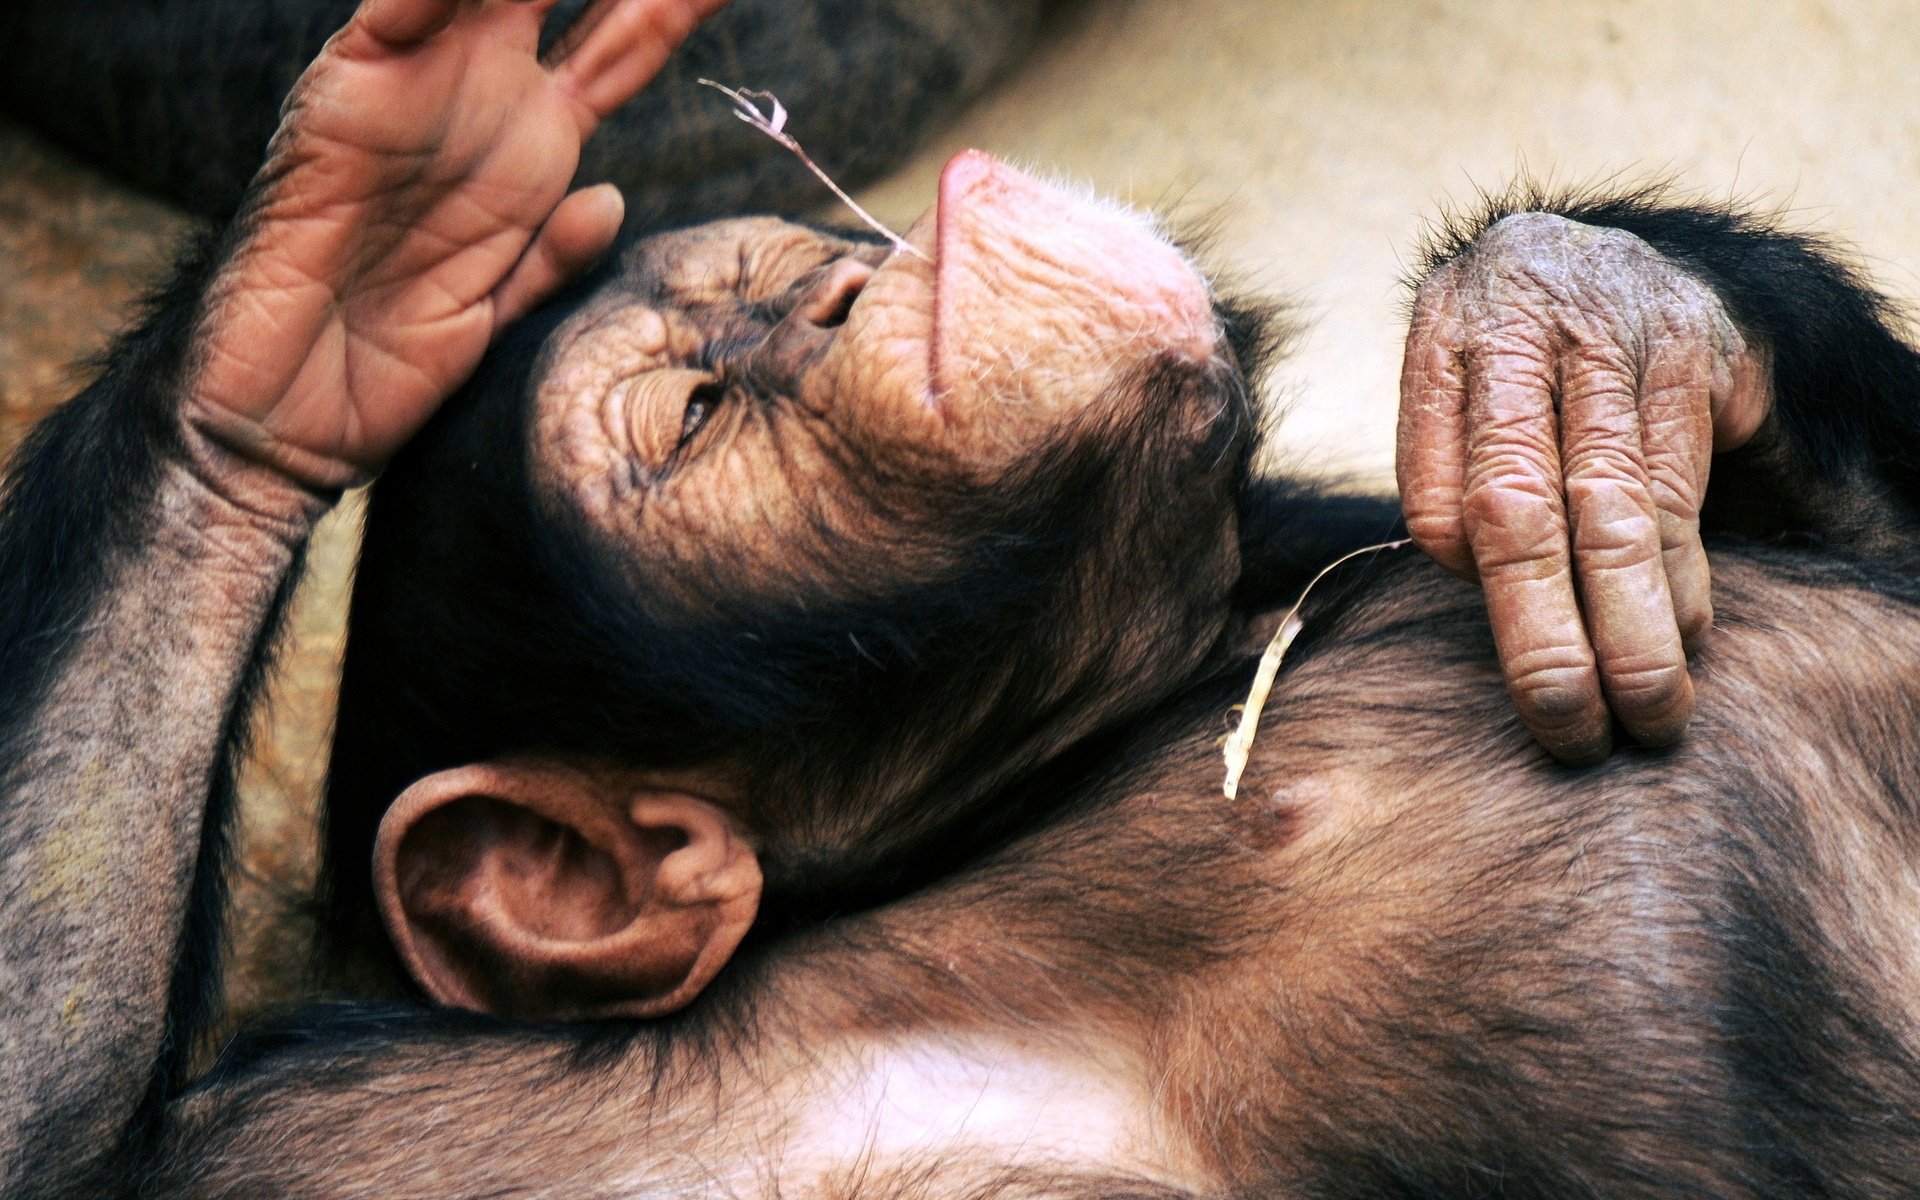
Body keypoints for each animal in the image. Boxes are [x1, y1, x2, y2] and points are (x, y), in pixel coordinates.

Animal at [7, 0, 1920, 1196]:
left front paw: (1566, 333)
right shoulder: (412, 1132)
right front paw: (296, 312)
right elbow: (81, 1141)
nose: (846, 287)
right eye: (695, 417)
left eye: (774, 265)